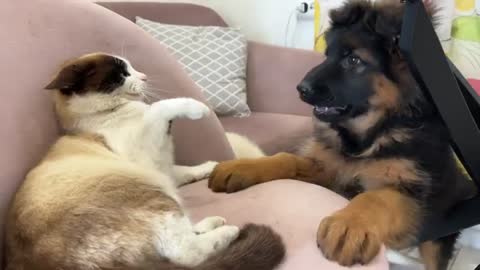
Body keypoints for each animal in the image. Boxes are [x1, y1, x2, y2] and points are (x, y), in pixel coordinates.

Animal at [5, 52, 284, 270]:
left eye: (131, 69)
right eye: (121, 74)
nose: (144, 77)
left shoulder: (161, 167)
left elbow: (186, 170)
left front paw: (213, 167)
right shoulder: (147, 145)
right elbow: (161, 107)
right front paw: (199, 108)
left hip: (160, 190)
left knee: (185, 234)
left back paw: (213, 223)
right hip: (153, 195)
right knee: (185, 252)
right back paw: (231, 231)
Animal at [207, 1, 476, 268]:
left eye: (353, 60)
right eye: (328, 55)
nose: (301, 89)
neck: (371, 135)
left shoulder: (412, 194)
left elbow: (376, 197)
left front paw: (349, 225)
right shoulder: (330, 170)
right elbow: (287, 158)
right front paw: (244, 166)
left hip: (436, 236)